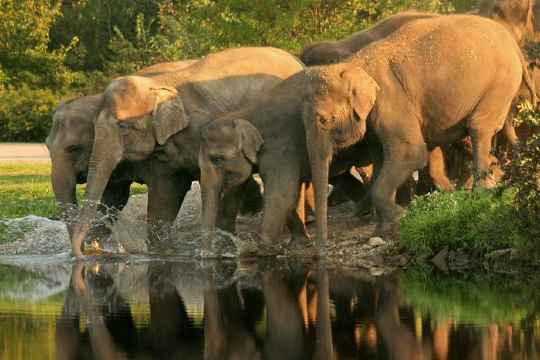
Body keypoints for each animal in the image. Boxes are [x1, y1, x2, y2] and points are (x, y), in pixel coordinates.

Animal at [304, 14, 532, 253]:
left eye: (324, 120)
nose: (320, 252)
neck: (353, 64)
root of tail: (514, 45)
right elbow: (381, 161)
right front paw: (382, 230)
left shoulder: (391, 102)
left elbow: (411, 153)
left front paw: (399, 217)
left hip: (500, 84)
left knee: (479, 128)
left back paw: (479, 195)